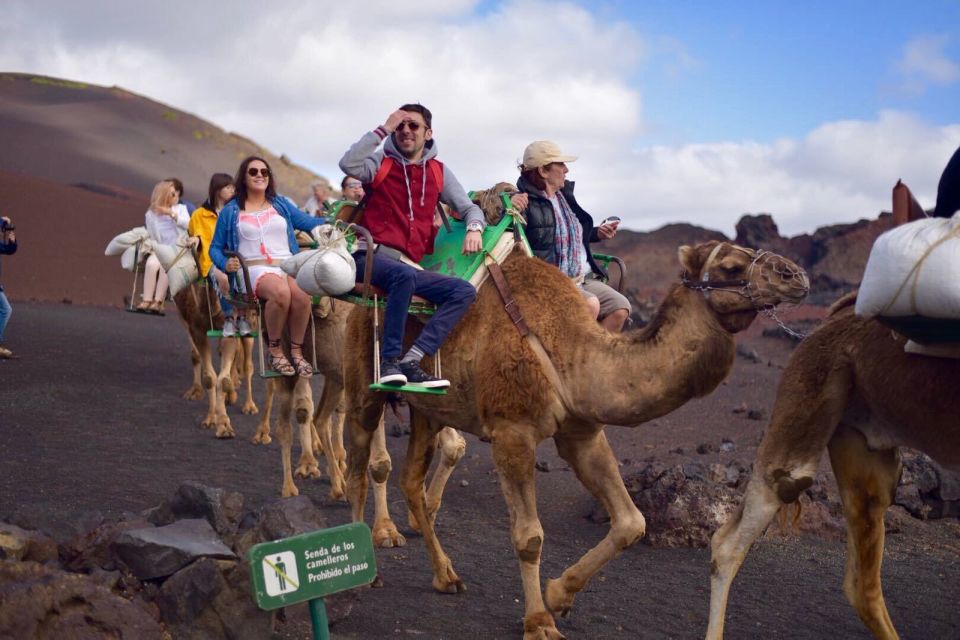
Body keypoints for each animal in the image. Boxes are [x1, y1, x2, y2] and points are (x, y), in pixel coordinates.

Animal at [342, 241, 808, 640]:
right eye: (731, 266)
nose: (795, 275)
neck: (569, 350)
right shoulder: (512, 431)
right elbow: (529, 536)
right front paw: (538, 621)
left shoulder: (582, 432)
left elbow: (632, 522)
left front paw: (558, 595)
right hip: (366, 383)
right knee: (360, 467)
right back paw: (361, 571)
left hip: (429, 409)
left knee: (411, 480)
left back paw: (445, 575)